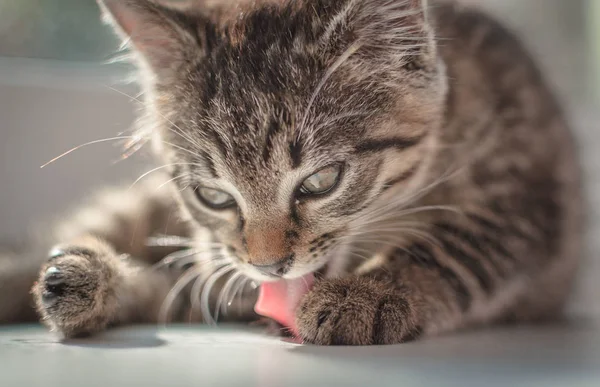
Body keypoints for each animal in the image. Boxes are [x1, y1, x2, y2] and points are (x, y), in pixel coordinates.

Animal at [0, 0, 580, 346]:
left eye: (321, 182)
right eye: (213, 195)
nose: (270, 266)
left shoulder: (527, 197)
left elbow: (454, 245)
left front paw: (368, 293)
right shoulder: (221, 271)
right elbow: (190, 283)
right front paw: (89, 279)